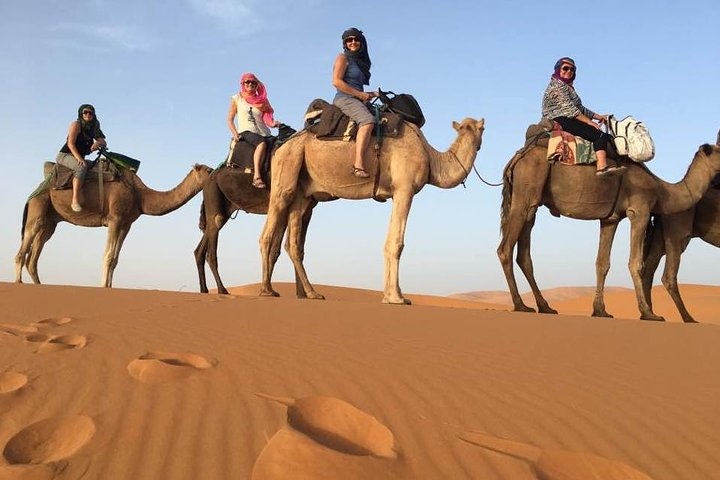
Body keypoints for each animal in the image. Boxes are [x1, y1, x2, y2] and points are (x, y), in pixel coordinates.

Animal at [15, 163, 213, 287]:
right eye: (209, 170)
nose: (216, 172)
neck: (140, 195)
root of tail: (33, 193)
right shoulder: (115, 218)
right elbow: (108, 256)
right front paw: (103, 286)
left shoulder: (126, 223)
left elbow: (115, 259)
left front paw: (110, 286)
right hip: (39, 206)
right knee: (25, 244)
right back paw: (18, 282)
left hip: (50, 220)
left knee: (34, 255)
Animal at [194, 166, 316, 295]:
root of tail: (208, 178)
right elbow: (279, 248)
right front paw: (268, 290)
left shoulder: (307, 209)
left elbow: (296, 248)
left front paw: (301, 294)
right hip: (213, 193)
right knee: (212, 244)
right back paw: (222, 289)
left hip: (225, 207)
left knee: (201, 247)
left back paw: (204, 289)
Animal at [258, 117, 485, 304]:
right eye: (482, 128)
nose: (479, 141)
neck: (431, 158)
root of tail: (281, 146)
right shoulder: (405, 188)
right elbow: (396, 243)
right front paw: (396, 297)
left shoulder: (396, 192)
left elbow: (389, 241)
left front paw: (389, 295)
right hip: (286, 168)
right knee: (268, 232)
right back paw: (267, 290)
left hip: (302, 190)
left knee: (293, 243)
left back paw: (312, 292)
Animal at [497, 136, 720, 320]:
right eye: (719, 151)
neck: (661, 190)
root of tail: (516, 159)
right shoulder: (640, 210)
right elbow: (636, 263)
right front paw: (648, 313)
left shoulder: (611, 219)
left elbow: (602, 263)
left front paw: (600, 310)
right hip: (526, 191)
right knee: (504, 249)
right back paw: (520, 305)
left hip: (531, 203)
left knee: (524, 255)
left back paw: (545, 306)